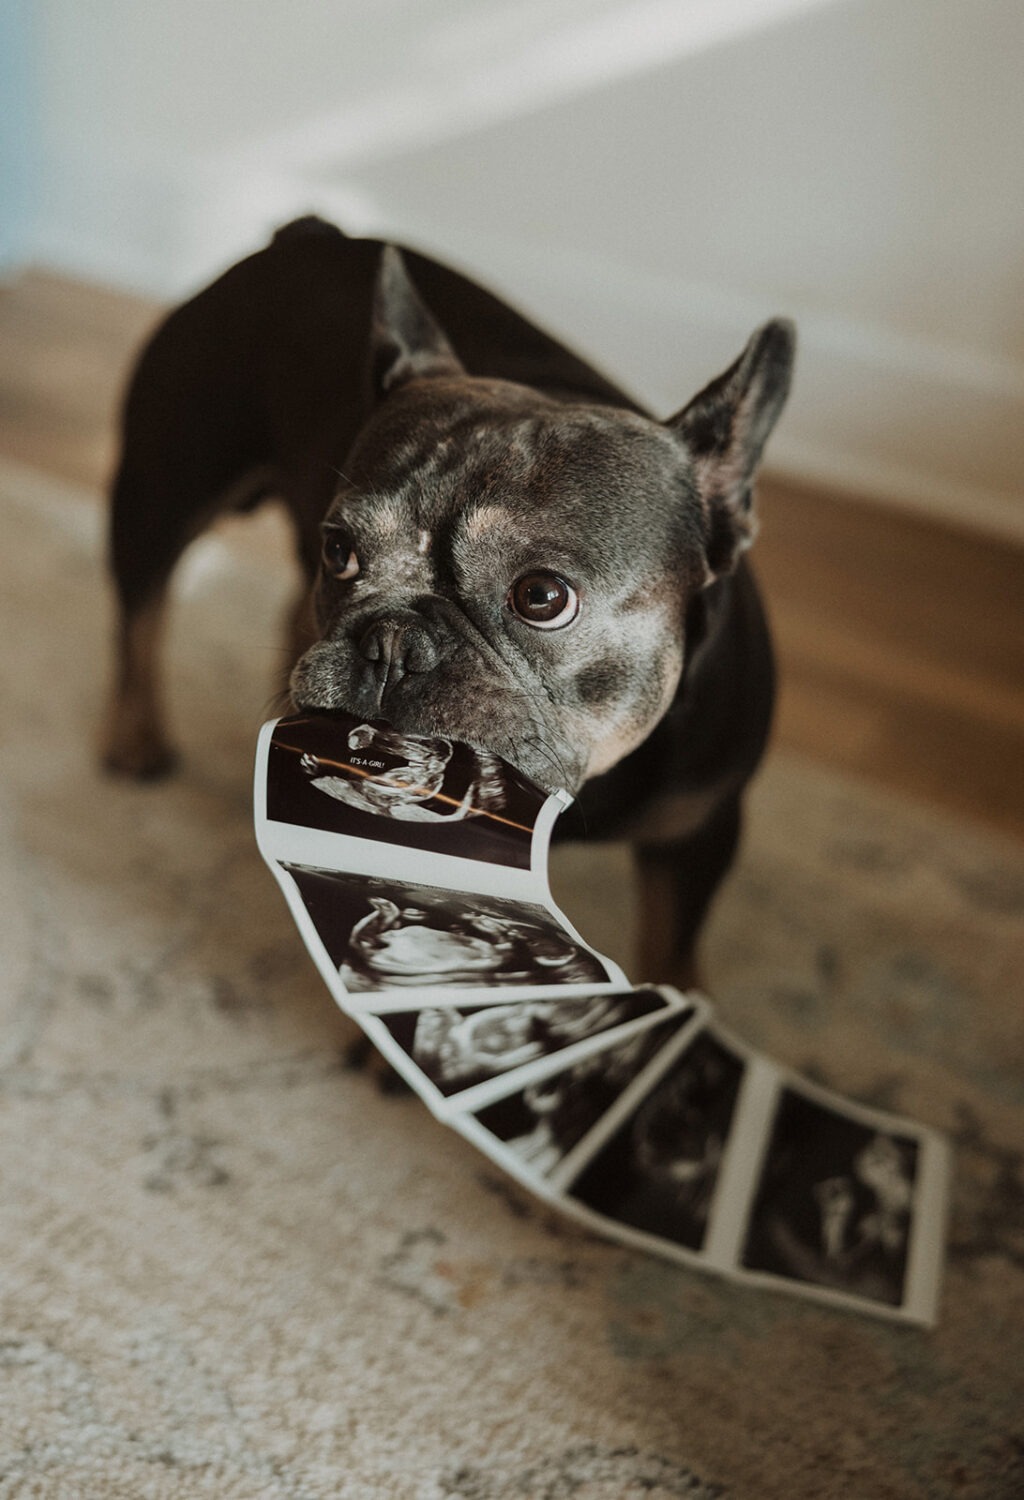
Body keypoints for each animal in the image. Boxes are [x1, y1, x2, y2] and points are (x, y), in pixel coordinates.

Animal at [101, 214, 791, 984]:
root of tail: (306, 233)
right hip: (162, 492)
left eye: (543, 596)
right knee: (139, 615)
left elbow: (672, 947)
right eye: (341, 550)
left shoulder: (699, 831)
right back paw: (135, 737)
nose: (392, 643)